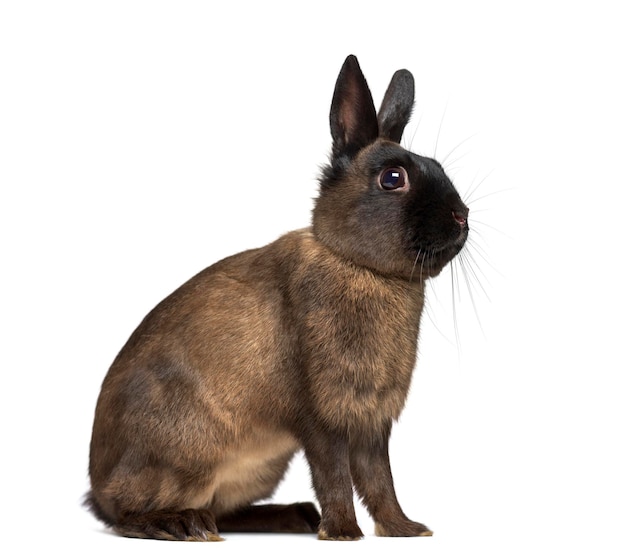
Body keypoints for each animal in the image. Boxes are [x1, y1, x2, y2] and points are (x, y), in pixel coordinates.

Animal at [85, 54, 466, 540]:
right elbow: (335, 475)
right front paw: (343, 533)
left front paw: (406, 530)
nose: (462, 217)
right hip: (184, 453)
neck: (358, 265)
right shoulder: (321, 416)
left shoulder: (371, 423)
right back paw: (184, 524)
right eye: (392, 178)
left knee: (222, 509)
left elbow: (380, 479)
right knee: (126, 514)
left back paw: (294, 515)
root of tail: (96, 486)